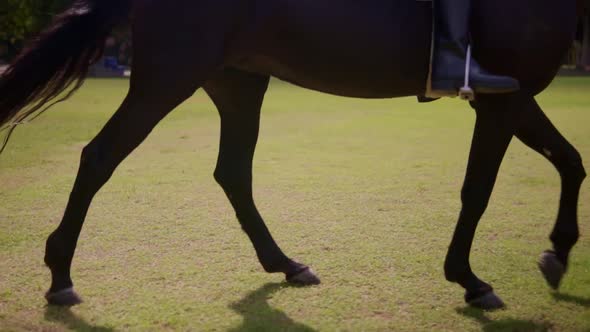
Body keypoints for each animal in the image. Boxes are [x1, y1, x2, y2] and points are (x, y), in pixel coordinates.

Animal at [0, 0, 584, 312]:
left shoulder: (514, 95)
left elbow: (570, 160)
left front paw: (557, 251)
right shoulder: (502, 99)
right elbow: (478, 189)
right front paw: (469, 279)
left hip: (237, 82)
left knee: (233, 173)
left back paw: (285, 263)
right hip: (168, 79)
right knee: (99, 158)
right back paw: (60, 276)